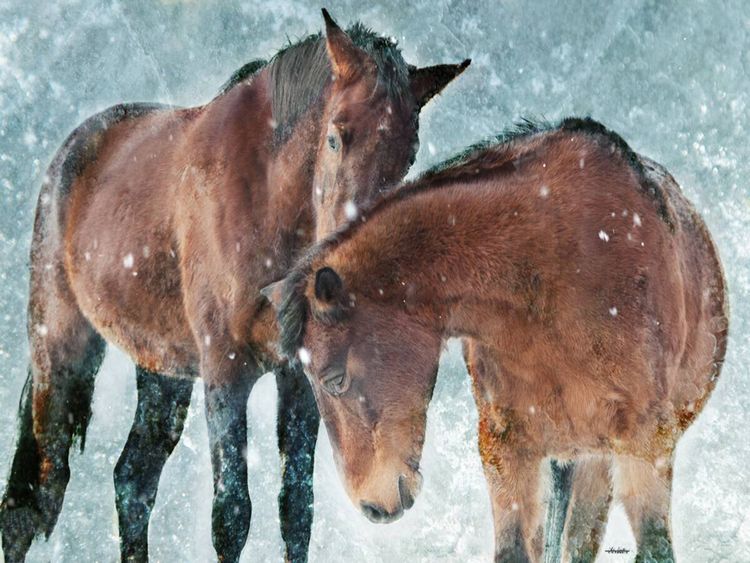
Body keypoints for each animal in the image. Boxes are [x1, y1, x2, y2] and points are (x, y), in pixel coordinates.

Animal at [0, 9, 470, 562]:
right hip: (61, 351)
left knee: (133, 481)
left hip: (162, 370)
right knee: (34, 499)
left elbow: (296, 509)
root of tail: (69, 154)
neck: (266, 202)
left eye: (408, 154)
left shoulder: (300, 380)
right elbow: (231, 515)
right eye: (336, 137)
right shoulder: (225, 372)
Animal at [267, 117, 728, 562]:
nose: (373, 507)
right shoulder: (506, 452)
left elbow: (655, 549)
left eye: (334, 379)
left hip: (598, 464)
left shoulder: (644, 445)